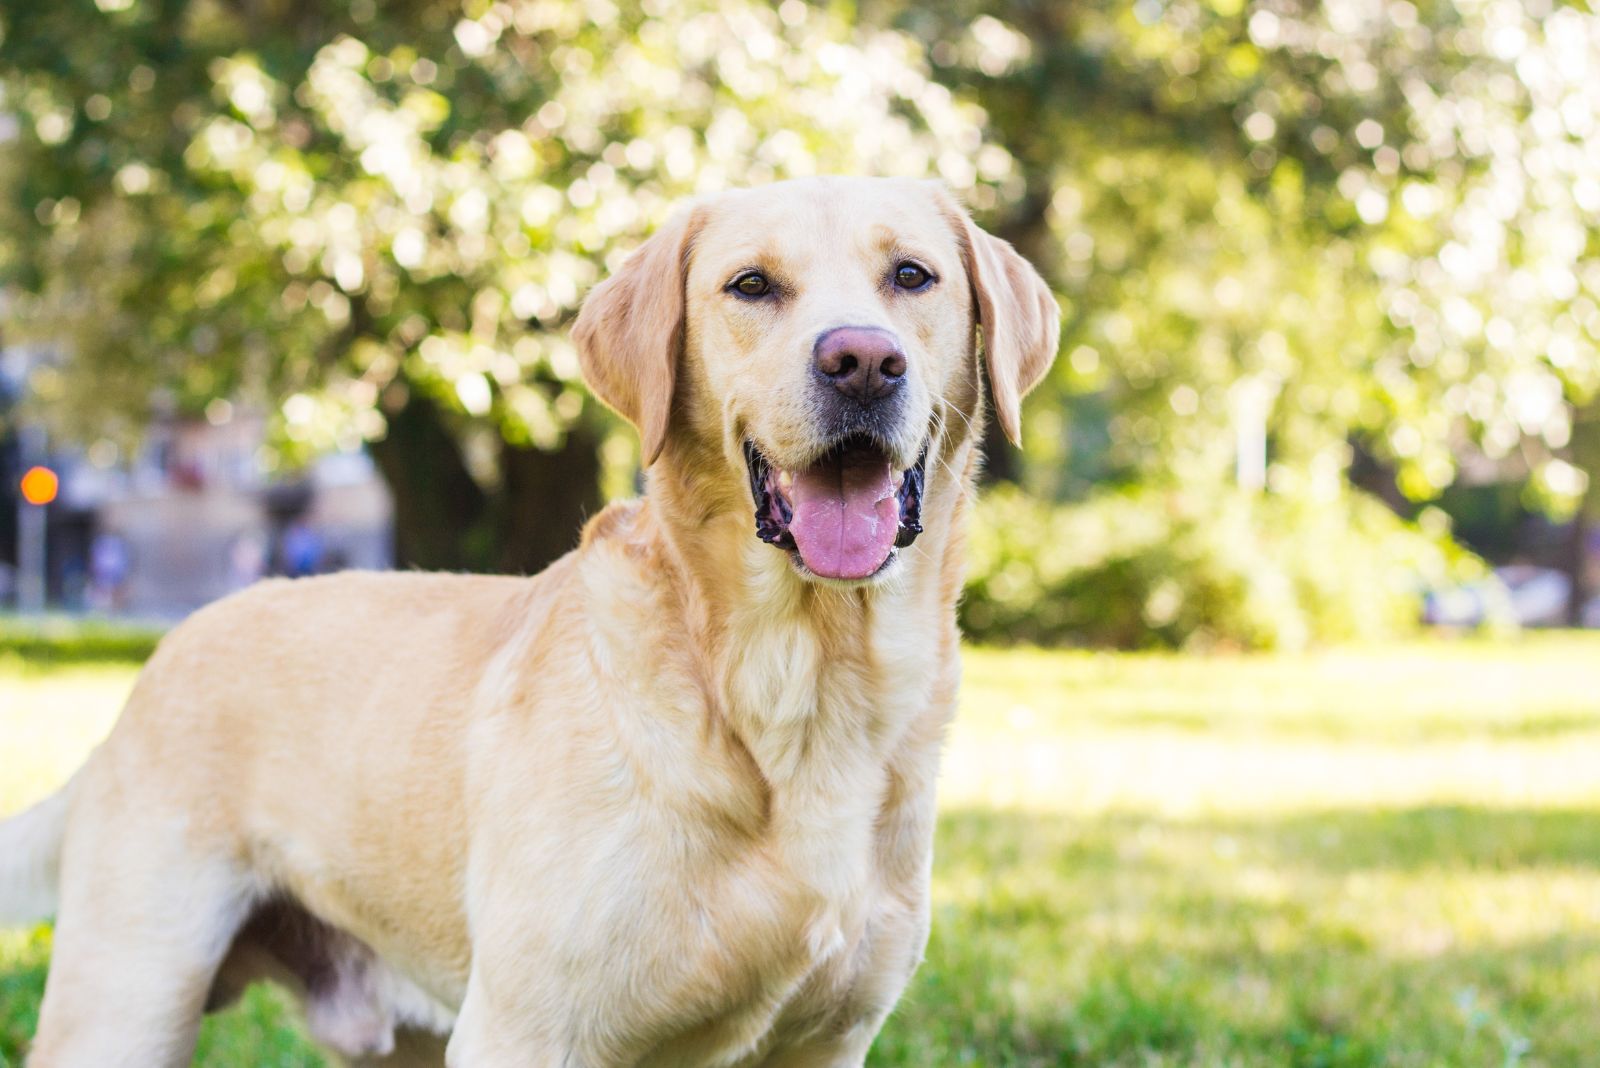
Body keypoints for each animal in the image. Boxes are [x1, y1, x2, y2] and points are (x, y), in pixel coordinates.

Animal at [0, 177, 1056, 1068]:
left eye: (911, 275)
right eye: (751, 285)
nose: (862, 361)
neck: (798, 683)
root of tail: (155, 665)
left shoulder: (827, 1042)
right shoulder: (528, 1030)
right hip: (128, 1000)